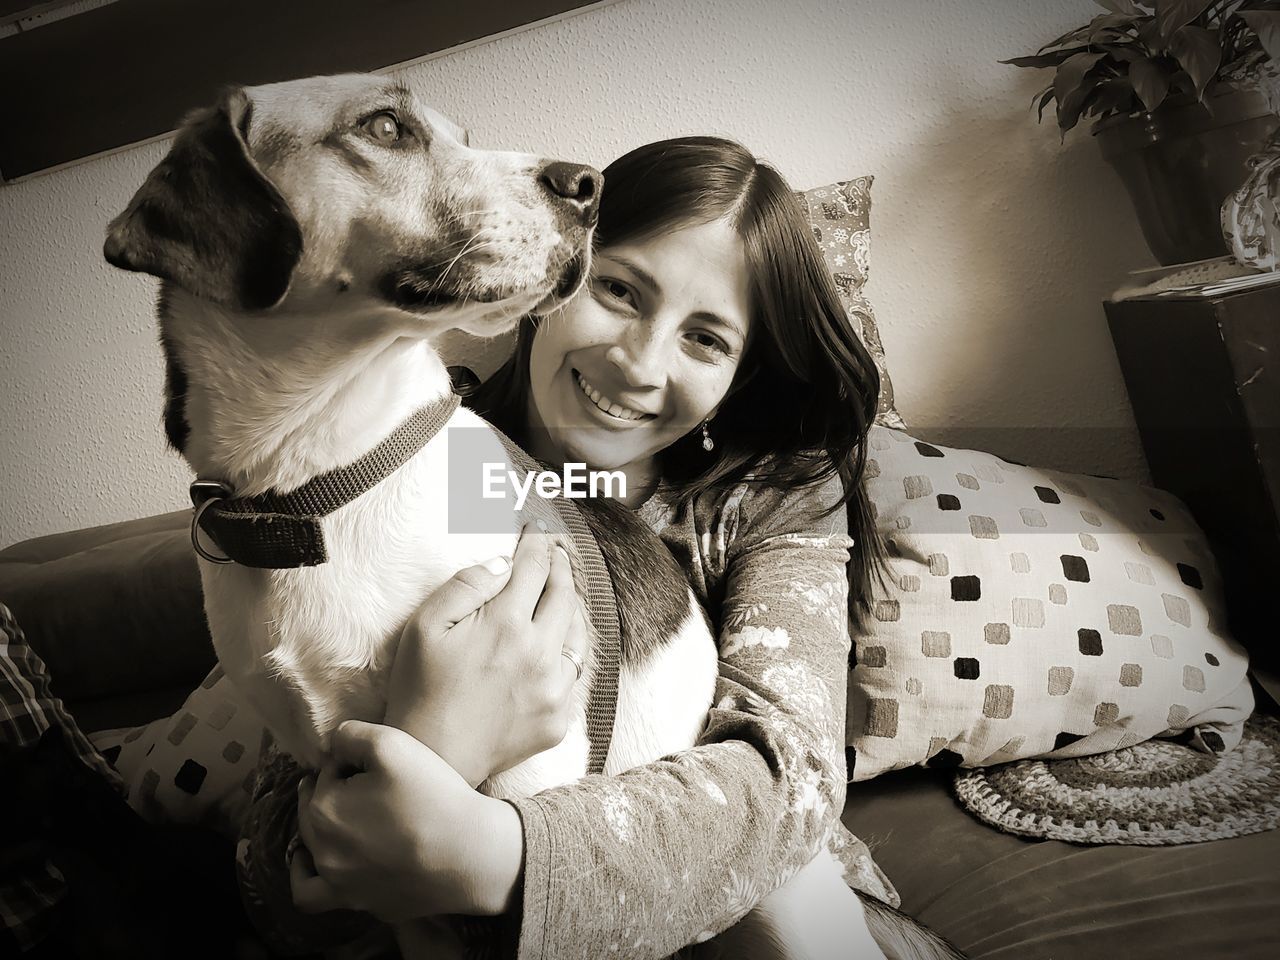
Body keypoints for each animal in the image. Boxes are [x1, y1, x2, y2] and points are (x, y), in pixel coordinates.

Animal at [102, 71, 962, 957]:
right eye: (385, 127)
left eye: (461, 132)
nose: (588, 184)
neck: (321, 488)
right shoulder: (383, 859)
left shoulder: (530, 770)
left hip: (781, 905)